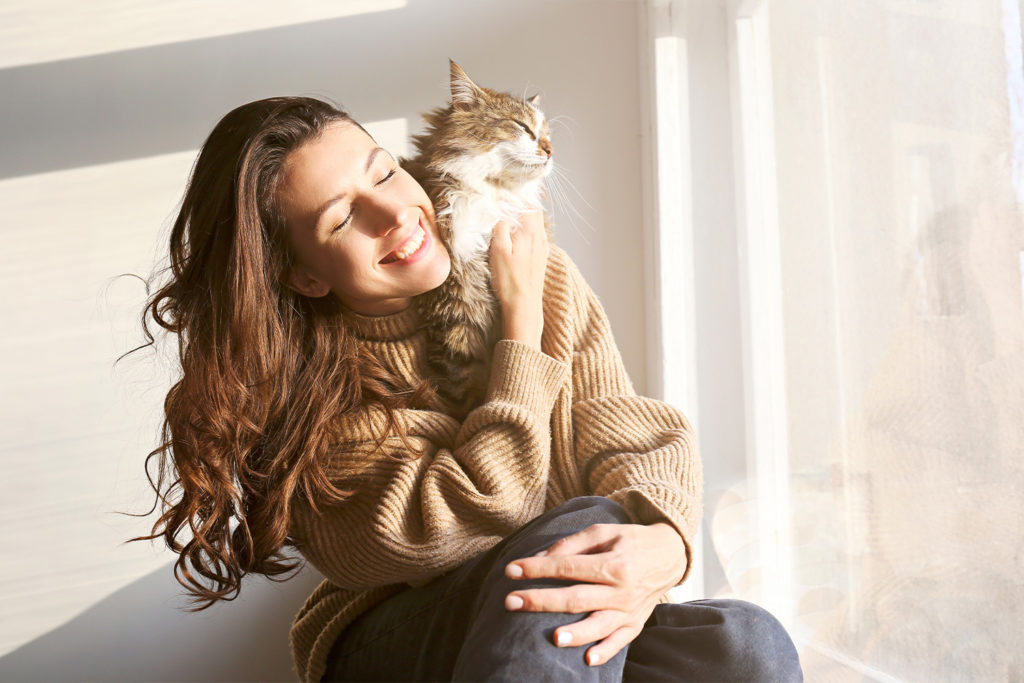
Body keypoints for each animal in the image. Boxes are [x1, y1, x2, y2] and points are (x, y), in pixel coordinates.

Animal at [403, 61, 557, 419]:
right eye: (522, 128)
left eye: (546, 134)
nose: (550, 150)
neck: (492, 197)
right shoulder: (454, 316)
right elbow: (467, 395)